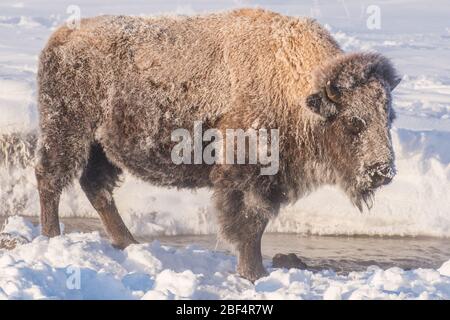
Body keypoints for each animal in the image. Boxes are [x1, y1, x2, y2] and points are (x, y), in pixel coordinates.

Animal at [36, 8, 400, 282]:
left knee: (96, 187)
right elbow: (249, 225)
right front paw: (254, 274)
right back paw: (53, 237)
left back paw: (127, 243)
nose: (383, 171)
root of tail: (60, 38)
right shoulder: (247, 177)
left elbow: (255, 224)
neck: (296, 89)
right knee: (51, 179)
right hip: (69, 132)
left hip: (100, 147)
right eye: (354, 122)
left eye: (389, 118)